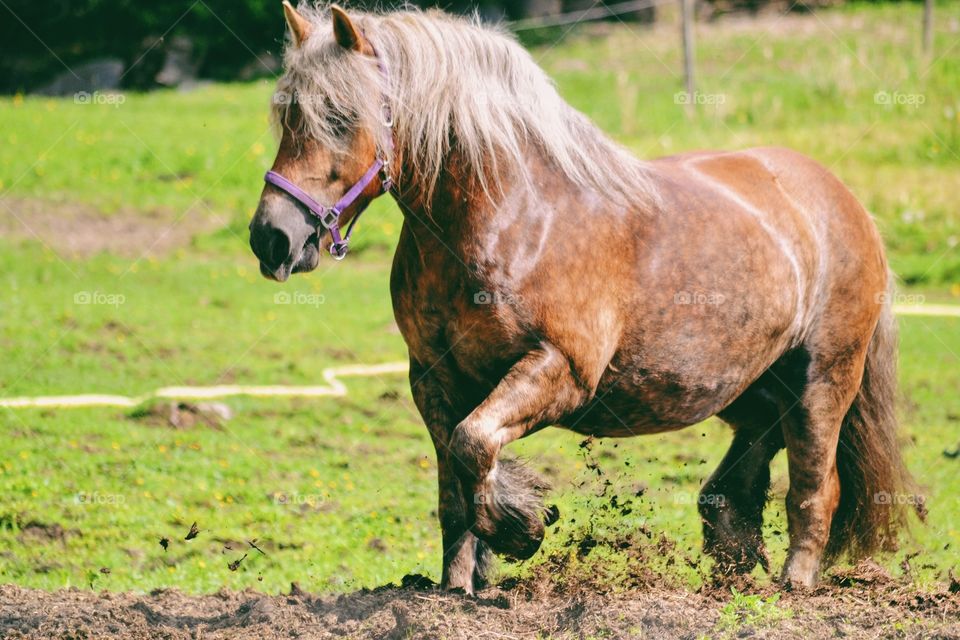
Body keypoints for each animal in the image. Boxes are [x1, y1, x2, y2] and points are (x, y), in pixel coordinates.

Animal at [251, 3, 920, 596]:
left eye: (341, 116)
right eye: (285, 117)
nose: (271, 237)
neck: (511, 216)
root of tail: (845, 201)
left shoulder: (561, 369)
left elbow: (475, 445)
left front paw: (519, 527)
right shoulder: (433, 378)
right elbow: (454, 489)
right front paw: (458, 587)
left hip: (822, 380)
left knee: (814, 487)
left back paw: (794, 583)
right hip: (751, 387)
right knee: (739, 478)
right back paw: (733, 564)